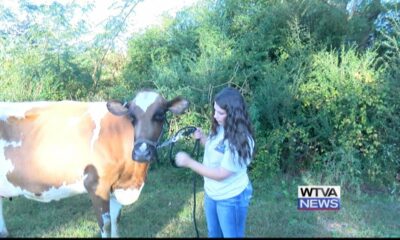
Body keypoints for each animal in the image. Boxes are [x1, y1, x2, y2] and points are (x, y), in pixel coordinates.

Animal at [0, 90, 189, 238]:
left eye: (160, 114)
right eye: (132, 117)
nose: (141, 152)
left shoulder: (116, 186)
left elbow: (116, 219)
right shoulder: (96, 185)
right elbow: (105, 223)